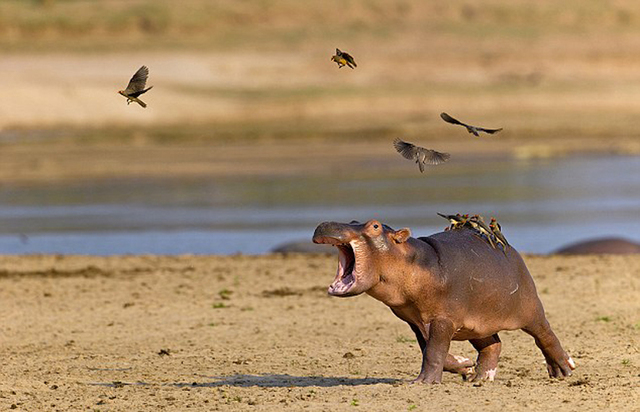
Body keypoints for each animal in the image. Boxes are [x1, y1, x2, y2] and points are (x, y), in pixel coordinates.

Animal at [312, 219, 575, 384]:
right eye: (353, 219)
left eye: (375, 226)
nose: (327, 224)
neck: (410, 259)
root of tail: (511, 250)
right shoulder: (416, 321)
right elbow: (429, 348)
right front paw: (464, 365)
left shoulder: (443, 319)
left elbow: (434, 351)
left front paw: (423, 382)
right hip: (476, 323)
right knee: (492, 345)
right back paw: (481, 378)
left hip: (530, 308)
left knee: (545, 334)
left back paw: (563, 369)